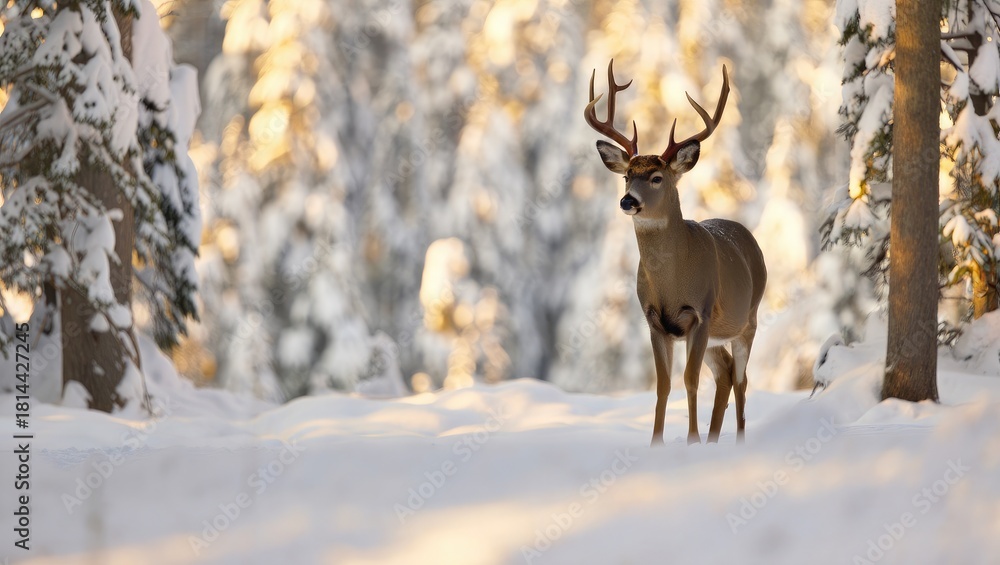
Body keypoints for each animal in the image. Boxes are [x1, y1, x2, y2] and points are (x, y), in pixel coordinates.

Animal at [584, 60, 767, 446]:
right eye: (627, 176)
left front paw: (691, 440)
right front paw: (658, 442)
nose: (627, 201)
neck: (671, 283)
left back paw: (736, 441)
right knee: (726, 372)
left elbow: (689, 380)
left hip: (748, 318)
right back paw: (713, 440)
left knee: (741, 378)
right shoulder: (654, 320)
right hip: (717, 334)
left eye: (657, 177)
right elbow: (664, 385)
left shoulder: (699, 313)